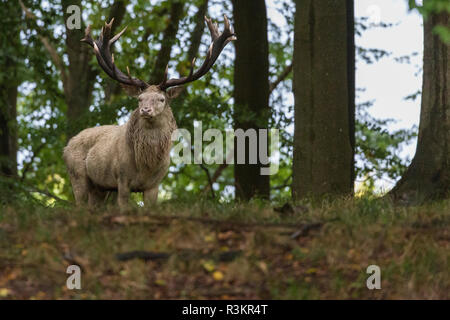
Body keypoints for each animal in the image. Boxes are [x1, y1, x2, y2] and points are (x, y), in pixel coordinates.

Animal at [63, 14, 237, 210]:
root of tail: (67, 145)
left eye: (161, 99)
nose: (145, 110)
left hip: (100, 187)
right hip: (77, 175)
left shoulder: (155, 185)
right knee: (80, 202)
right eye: (140, 99)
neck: (146, 167)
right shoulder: (122, 178)